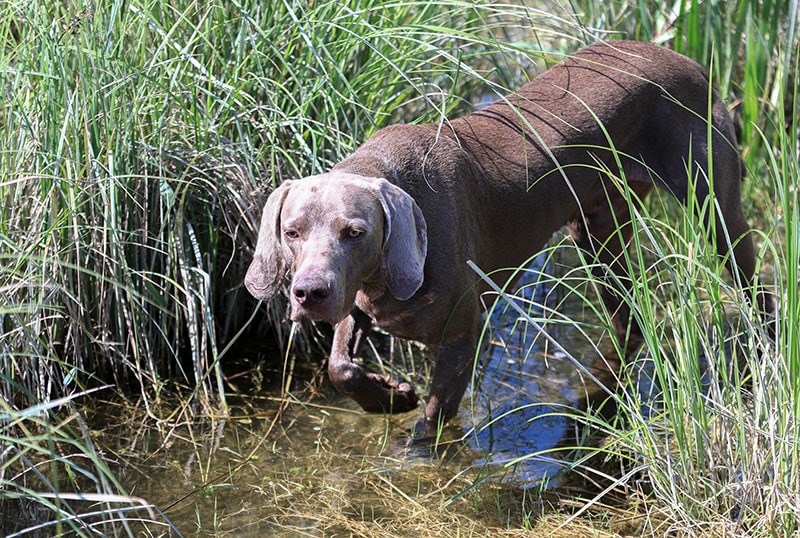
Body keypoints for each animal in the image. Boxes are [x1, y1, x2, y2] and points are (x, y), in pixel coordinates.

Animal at [244, 40, 764, 436]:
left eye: (355, 233)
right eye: (291, 233)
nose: (308, 293)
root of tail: (690, 60)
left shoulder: (463, 333)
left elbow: (432, 423)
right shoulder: (358, 299)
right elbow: (340, 367)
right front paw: (391, 397)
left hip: (713, 205)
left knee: (755, 285)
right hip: (596, 229)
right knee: (629, 319)